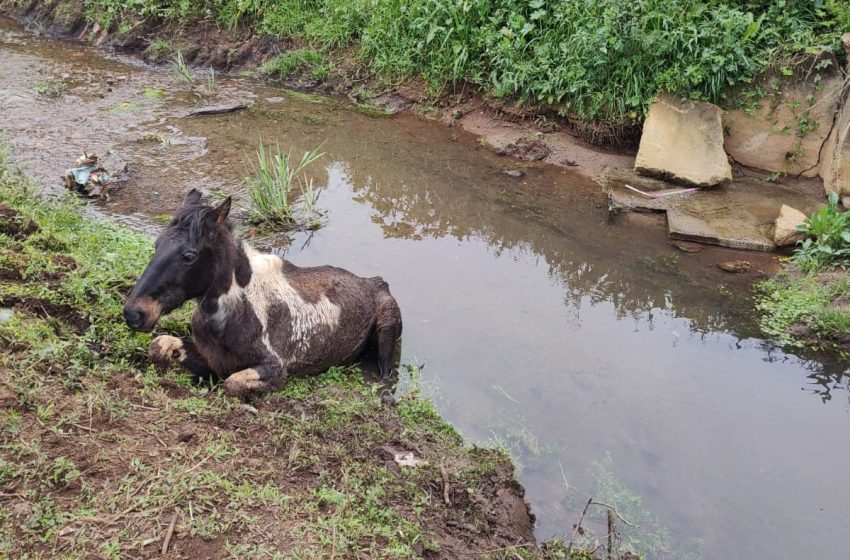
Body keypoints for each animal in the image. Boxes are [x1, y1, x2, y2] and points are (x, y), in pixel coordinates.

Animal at [122, 189, 403, 398]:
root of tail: (377, 283)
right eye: (157, 244)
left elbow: (232, 383)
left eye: (189, 256)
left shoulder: (275, 368)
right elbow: (159, 345)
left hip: (387, 334)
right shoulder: (213, 361)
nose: (134, 313)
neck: (228, 317)